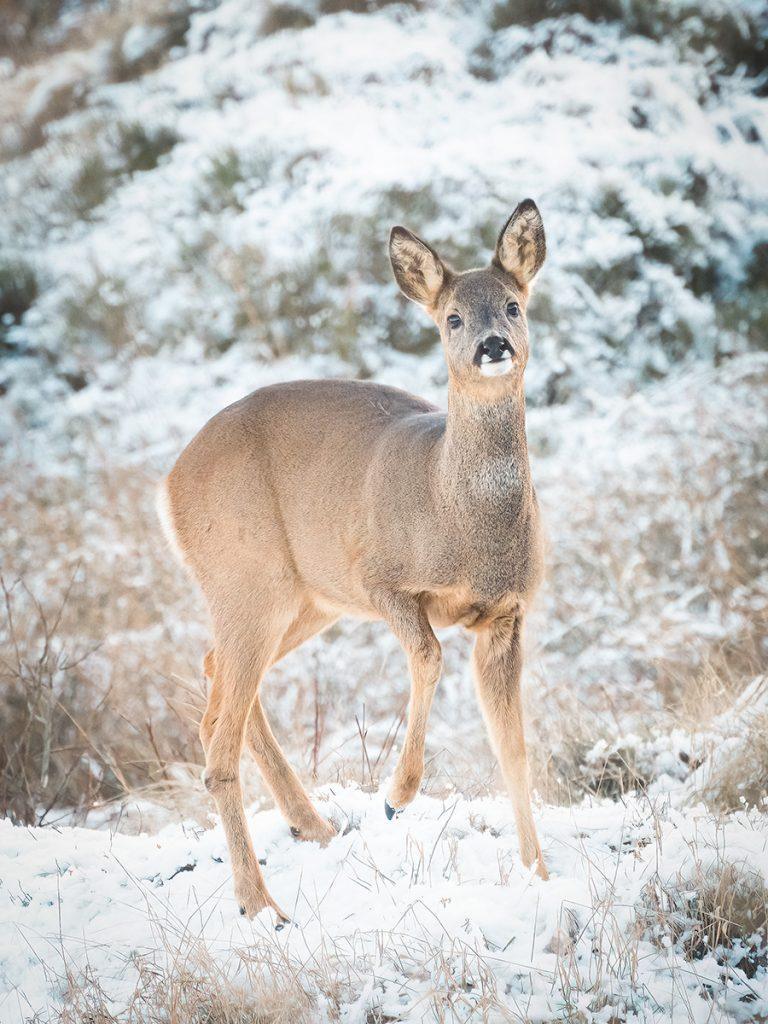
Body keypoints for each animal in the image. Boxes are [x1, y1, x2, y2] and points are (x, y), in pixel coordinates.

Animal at [157, 199, 549, 924]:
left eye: (513, 304)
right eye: (452, 317)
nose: (493, 345)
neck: (455, 512)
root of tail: (168, 486)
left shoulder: (507, 614)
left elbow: (514, 748)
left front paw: (540, 873)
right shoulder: (382, 578)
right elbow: (429, 655)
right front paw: (396, 795)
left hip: (304, 599)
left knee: (215, 684)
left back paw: (312, 826)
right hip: (248, 576)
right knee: (218, 739)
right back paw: (262, 907)